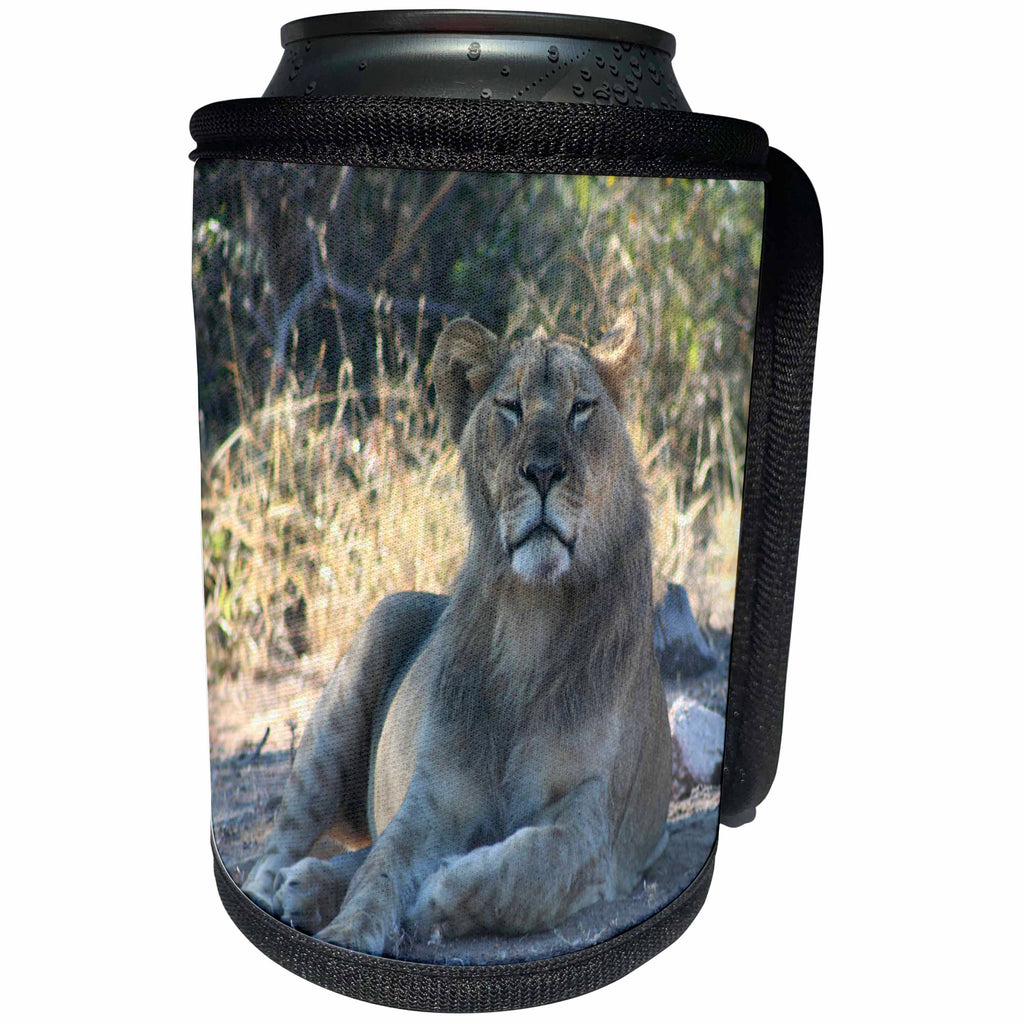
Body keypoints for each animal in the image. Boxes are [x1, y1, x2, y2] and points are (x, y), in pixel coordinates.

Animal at [241, 311, 671, 956]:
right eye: (511, 407)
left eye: (582, 407)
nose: (543, 471)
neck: (532, 616)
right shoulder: (433, 798)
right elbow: (383, 867)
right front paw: (349, 931)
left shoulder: (594, 818)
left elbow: (531, 866)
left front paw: (439, 895)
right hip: (360, 665)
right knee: (281, 845)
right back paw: (277, 892)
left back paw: (309, 887)